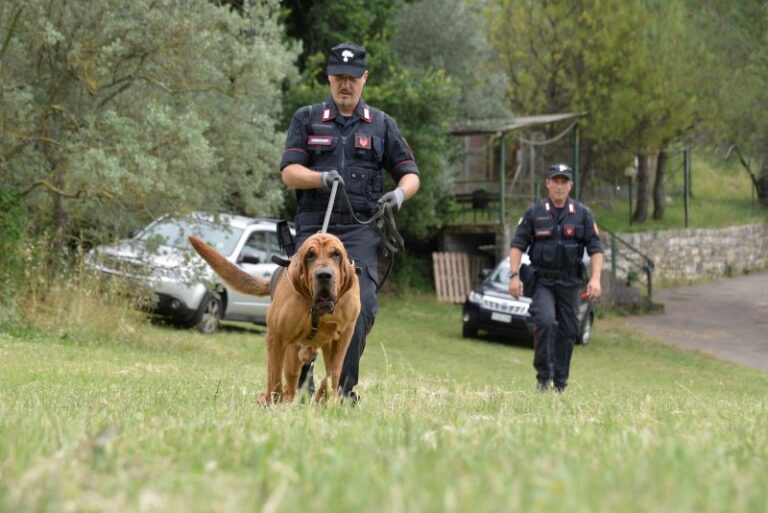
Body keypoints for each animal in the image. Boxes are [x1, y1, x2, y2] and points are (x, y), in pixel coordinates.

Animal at [190, 232, 362, 404]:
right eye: (310, 256)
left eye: (336, 254)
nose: (324, 275)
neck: (317, 310)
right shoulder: (276, 337)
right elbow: (274, 376)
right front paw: (271, 401)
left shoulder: (343, 337)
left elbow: (333, 372)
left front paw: (327, 399)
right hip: (290, 351)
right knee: (289, 380)